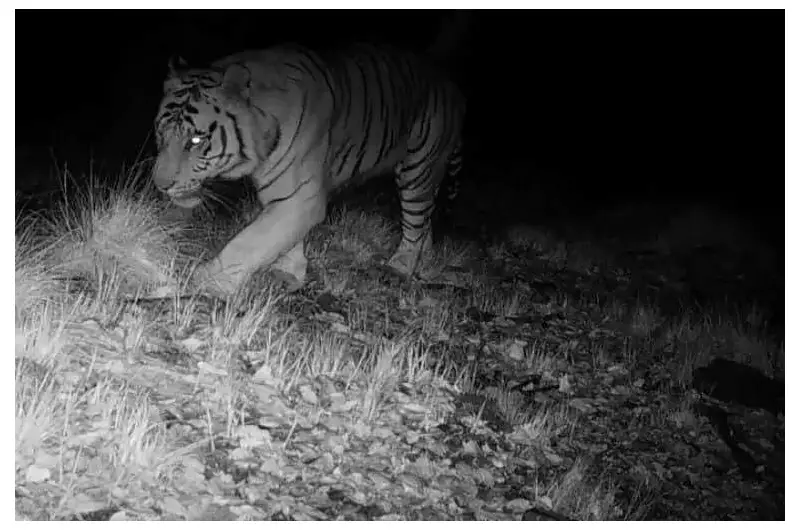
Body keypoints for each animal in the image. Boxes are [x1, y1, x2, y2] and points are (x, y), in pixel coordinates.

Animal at [152, 27, 466, 296]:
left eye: (196, 140)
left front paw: (206, 282)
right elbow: (282, 237)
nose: (160, 185)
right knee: (425, 224)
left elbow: (249, 241)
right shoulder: (286, 193)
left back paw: (399, 268)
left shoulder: (300, 194)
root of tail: (447, 77)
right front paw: (289, 272)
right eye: (160, 132)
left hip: (418, 169)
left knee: (416, 223)